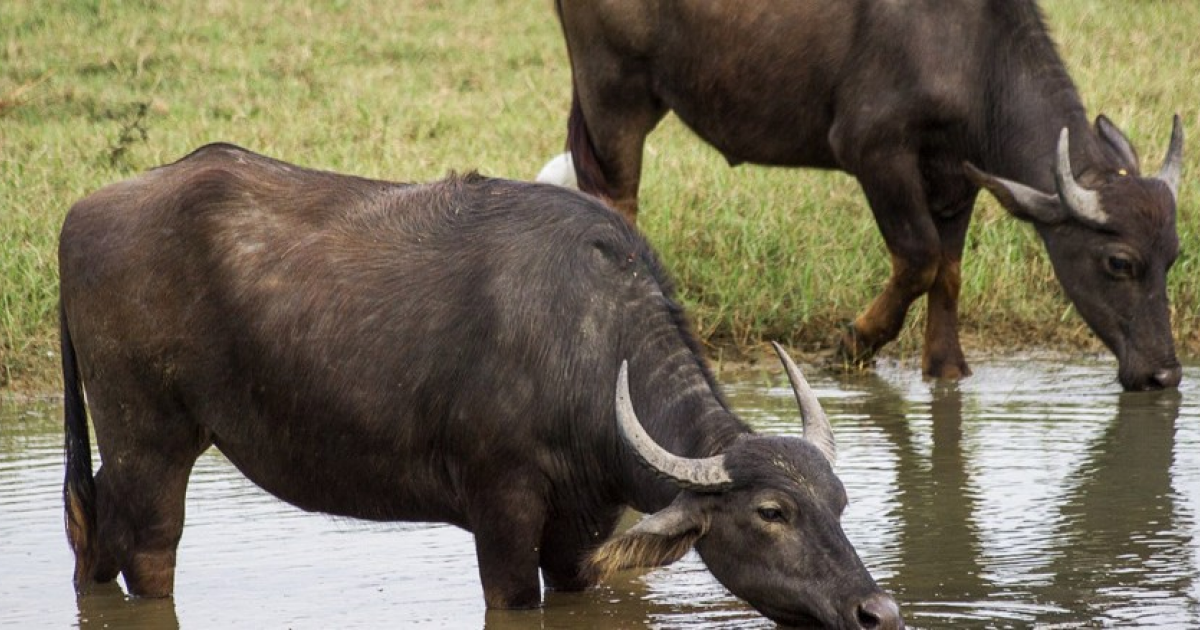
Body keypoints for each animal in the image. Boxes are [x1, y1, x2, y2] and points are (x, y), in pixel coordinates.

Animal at [56, 143, 902, 628]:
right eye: (771, 512)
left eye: (839, 503)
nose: (879, 610)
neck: (586, 349)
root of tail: (85, 212)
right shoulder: (501, 513)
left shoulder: (580, 531)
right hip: (149, 438)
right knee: (148, 552)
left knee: (94, 533)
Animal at [549, 0, 1185, 391]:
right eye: (1119, 262)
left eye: (1174, 258)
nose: (1165, 376)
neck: (974, 54)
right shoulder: (875, 152)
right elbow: (919, 258)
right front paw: (853, 343)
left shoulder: (956, 177)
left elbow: (949, 272)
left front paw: (946, 368)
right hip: (615, 91)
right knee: (616, 199)